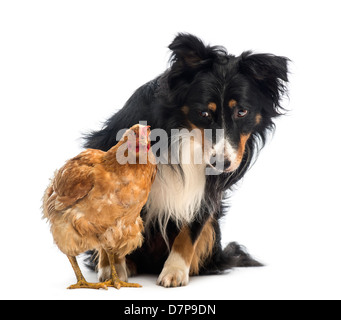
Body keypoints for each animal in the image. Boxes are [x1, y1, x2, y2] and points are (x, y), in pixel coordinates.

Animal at [83, 33, 288, 288]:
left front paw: (175, 271)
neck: (185, 131)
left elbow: (190, 231)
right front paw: (111, 270)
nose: (221, 164)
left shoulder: (208, 190)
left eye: (242, 112)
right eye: (204, 113)